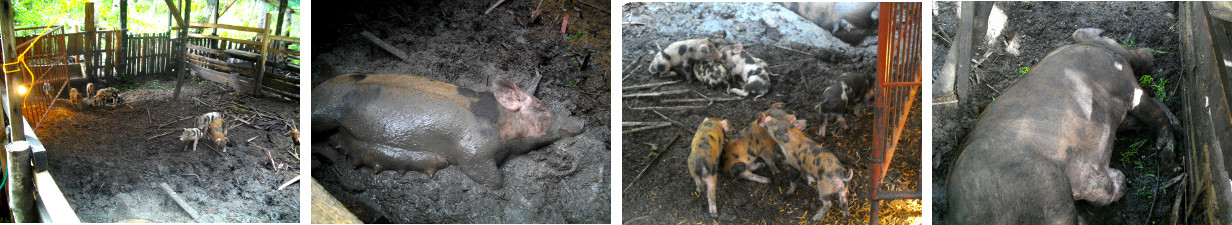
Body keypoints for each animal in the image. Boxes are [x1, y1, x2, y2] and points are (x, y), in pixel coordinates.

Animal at [317, 73, 586, 188]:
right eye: (542, 109)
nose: (582, 124)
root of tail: (317, 89)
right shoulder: (473, 150)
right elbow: (491, 178)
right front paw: (498, 186)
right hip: (326, 110)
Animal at [946, 29, 1177, 223]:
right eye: (1112, 38)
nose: (1148, 52)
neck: (1093, 46)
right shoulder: (1125, 84)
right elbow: (1151, 111)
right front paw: (1167, 152)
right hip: (1047, 185)